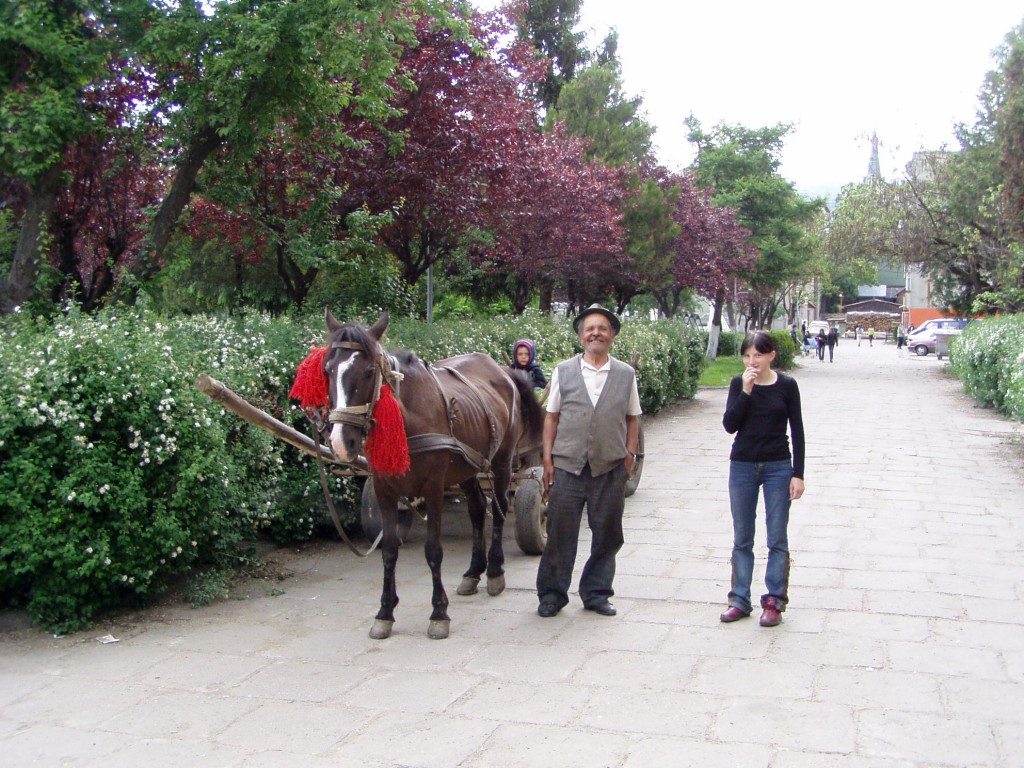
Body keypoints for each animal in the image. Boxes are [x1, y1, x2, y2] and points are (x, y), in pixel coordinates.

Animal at [325, 309, 548, 638]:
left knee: (499, 509)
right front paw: (385, 612)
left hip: (503, 461)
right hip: (468, 467)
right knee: (477, 512)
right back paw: (473, 572)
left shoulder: (433, 487)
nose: (341, 442)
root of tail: (503, 372)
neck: (406, 417)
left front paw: (439, 612)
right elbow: (388, 549)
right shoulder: (384, 488)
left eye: (368, 371)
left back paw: (494, 572)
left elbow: (433, 550)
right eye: (327, 370)